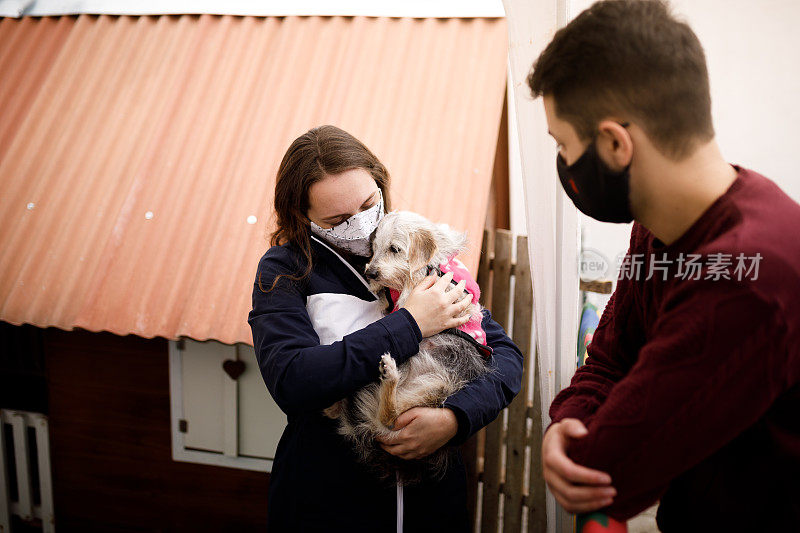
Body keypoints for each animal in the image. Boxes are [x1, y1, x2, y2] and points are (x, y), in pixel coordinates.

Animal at [322, 210, 490, 484]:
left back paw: (389, 374)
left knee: (390, 417)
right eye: (374, 248)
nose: (370, 273)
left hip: (436, 385)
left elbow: (407, 290)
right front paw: (380, 290)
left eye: (394, 249)